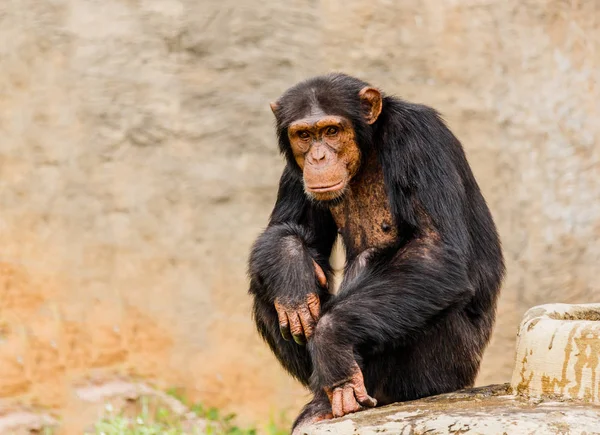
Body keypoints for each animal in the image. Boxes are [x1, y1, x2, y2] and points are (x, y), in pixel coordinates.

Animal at [246, 73, 504, 434]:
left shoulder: (418, 139)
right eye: (304, 135)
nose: (318, 158)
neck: (367, 151)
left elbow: (435, 249)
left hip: (444, 368)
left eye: (331, 130)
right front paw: (291, 269)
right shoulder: (293, 172)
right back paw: (321, 402)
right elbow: (286, 231)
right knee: (267, 288)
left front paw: (331, 342)